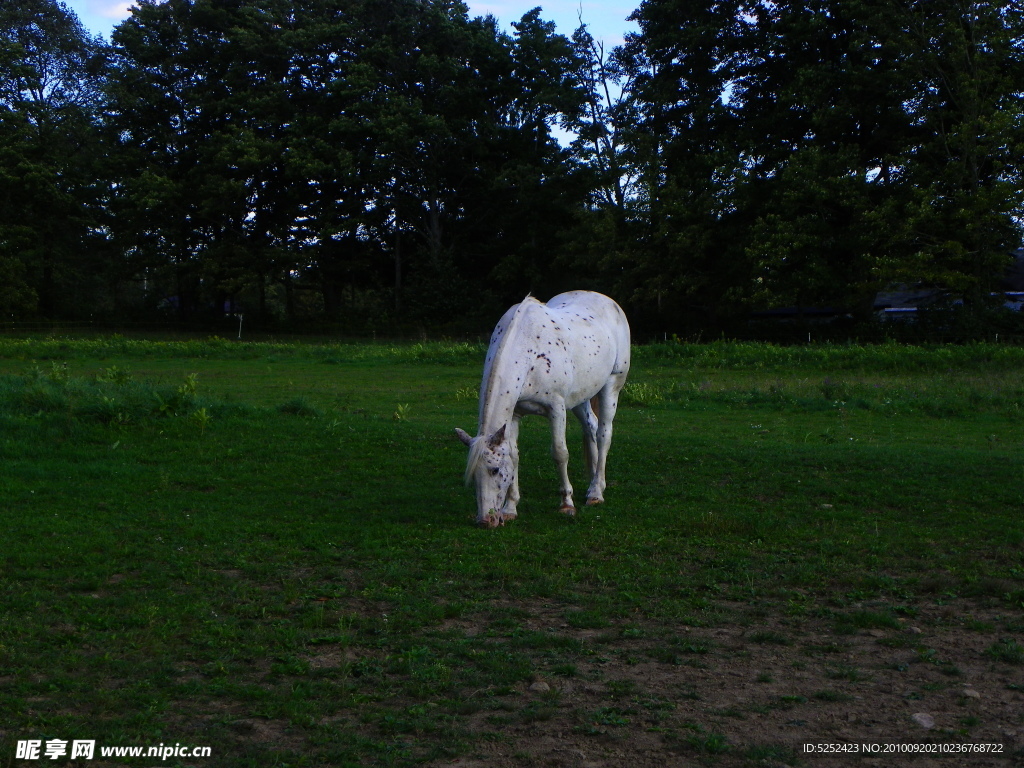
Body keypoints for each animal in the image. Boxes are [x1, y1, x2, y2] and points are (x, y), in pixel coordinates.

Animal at [454, 290, 626, 528]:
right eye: (473, 476)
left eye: (494, 470)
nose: (485, 521)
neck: (528, 350)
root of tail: (608, 301)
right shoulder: (515, 414)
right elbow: (514, 456)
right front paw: (510, 509)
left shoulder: (557, 408)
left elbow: (560, 453)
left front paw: (566, 504)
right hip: (581, 397)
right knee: (590, 427)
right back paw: (594, 483)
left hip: (611, 385)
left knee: (603, 434)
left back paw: (596, 494)